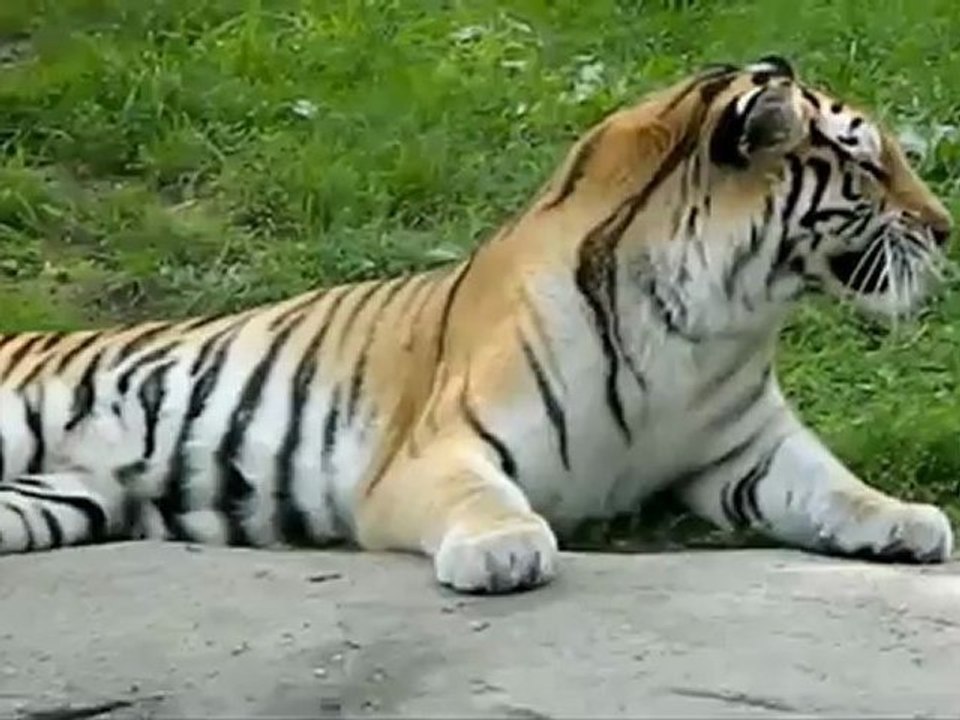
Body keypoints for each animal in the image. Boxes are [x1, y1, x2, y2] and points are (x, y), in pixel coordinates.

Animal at [0, 55, 953, 595]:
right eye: (868, 166)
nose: (946, 227)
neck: (712, 320)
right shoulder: (437, 450)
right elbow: (481, 495)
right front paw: (505, 550)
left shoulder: (744, 450)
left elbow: (834, 485)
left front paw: (908, 519)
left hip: (65, 499)